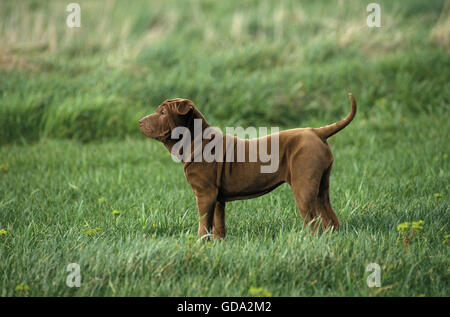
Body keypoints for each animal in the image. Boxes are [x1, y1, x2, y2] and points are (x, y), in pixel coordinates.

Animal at [139, 93, 356, 237]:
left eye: (162, 112)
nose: (140, 121)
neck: (195, 139)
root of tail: (316, 132)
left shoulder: (204, 194)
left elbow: (204, 223)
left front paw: (200, 244)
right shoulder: (217, 197)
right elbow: (218, 223)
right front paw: (217, 244)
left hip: (303, 186)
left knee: (312, 219)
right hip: (321, 184)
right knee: (329, 214)